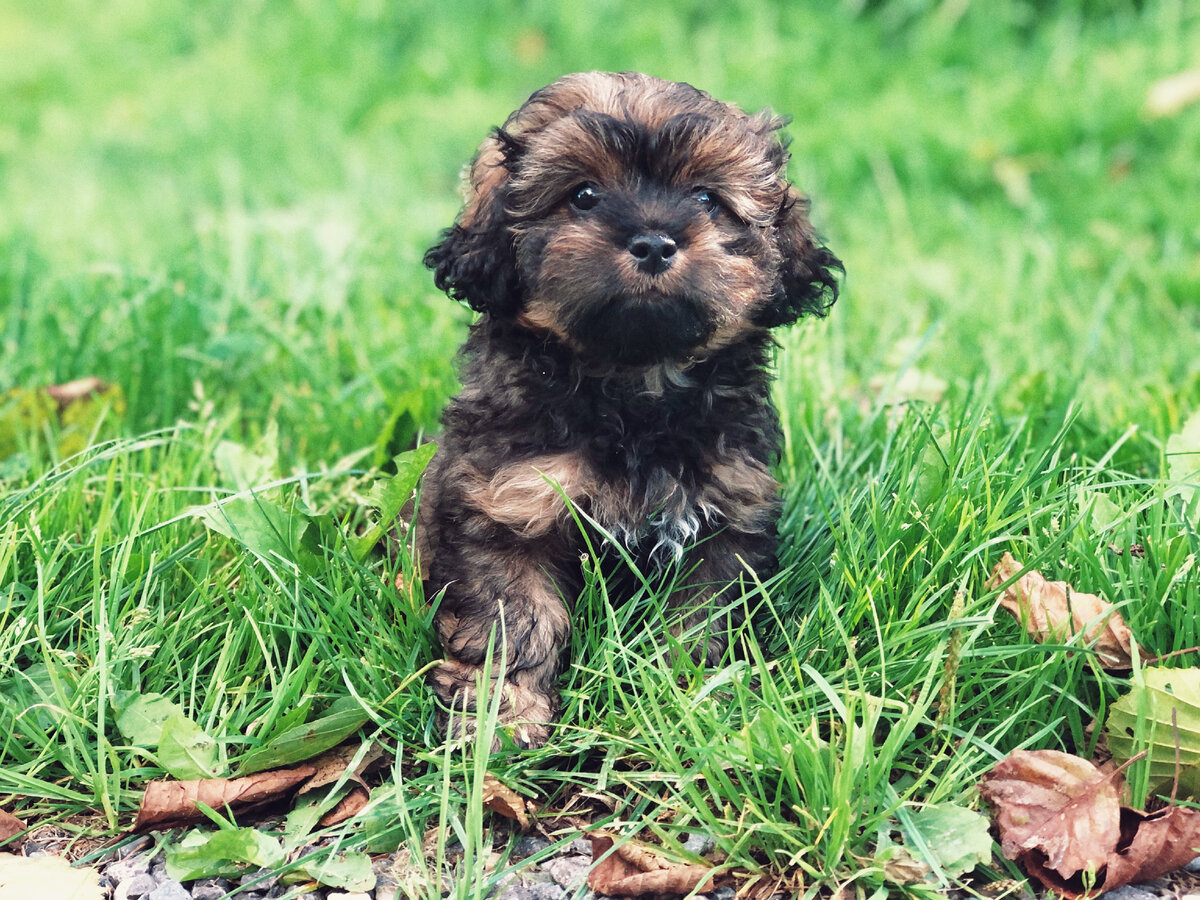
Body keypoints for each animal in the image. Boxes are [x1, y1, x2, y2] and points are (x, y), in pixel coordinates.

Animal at [417, 70, 840, 748]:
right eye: (584, 195)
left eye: (706, 198)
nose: (654, 242)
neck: (632, 389)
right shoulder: (507, 503)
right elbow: (518, 619)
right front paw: (502, 718)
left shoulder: (724, 518)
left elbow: (700, 624)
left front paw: (693, 701)